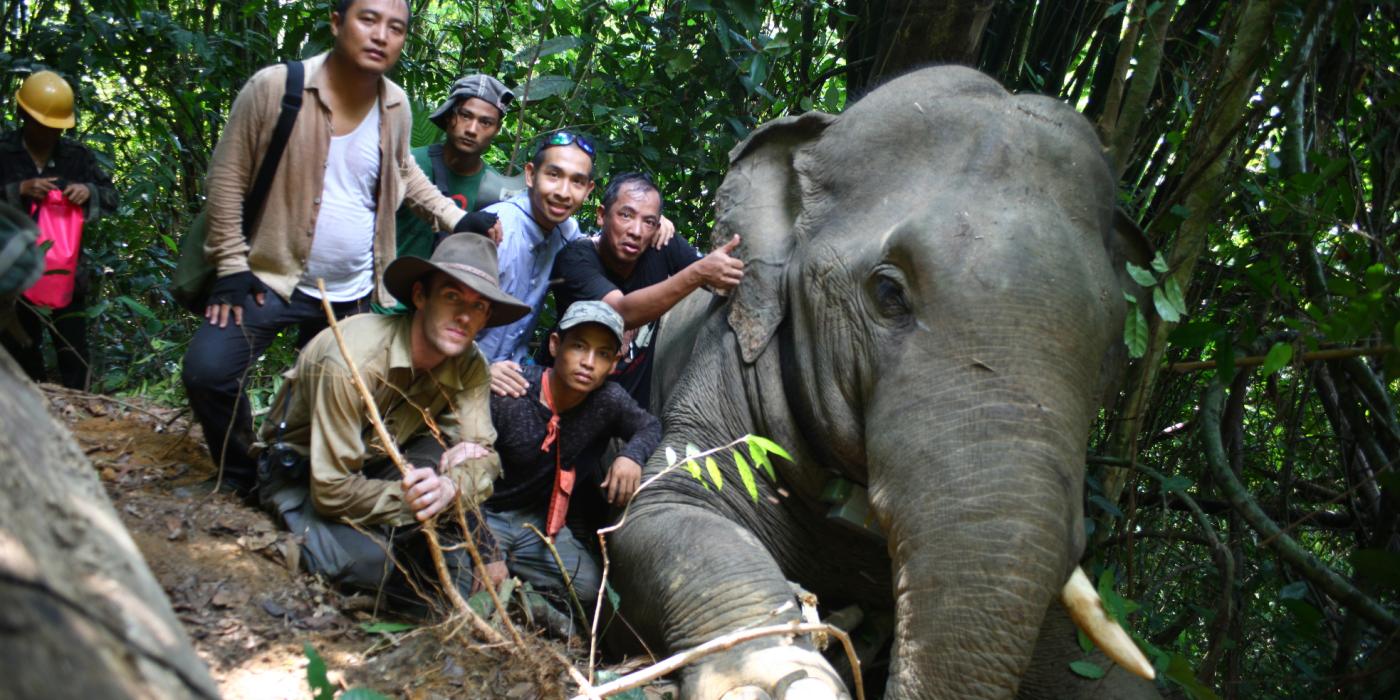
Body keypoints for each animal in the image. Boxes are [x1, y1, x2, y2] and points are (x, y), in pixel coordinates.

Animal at [613, 66, 1159, 700]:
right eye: (888, 291)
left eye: (1110, 344)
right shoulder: (725, 358)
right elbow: (668, 511)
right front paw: (779, 680)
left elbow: (1098, 667)